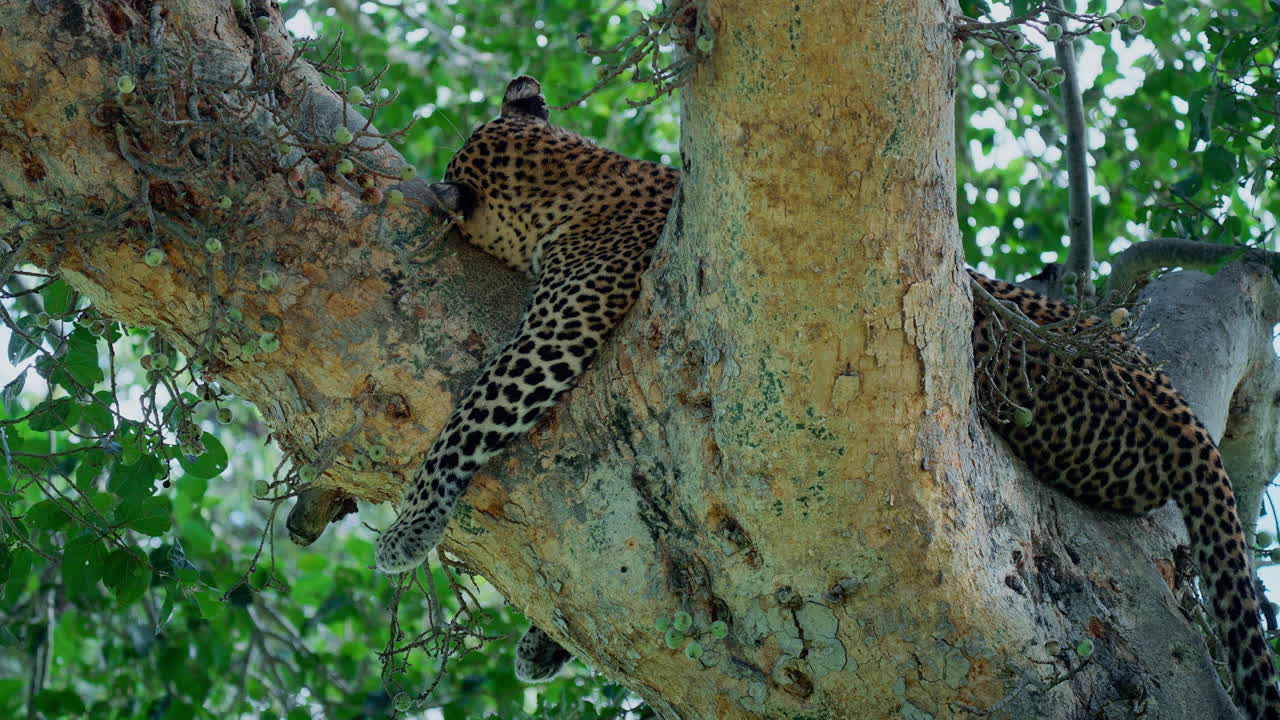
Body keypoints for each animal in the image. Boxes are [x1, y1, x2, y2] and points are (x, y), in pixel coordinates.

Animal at [374, 75, 1280, 716]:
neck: (579, 173)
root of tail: (1174, 409)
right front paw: (539, 645)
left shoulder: (557, 329)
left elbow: (471, 417)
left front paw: (408, 529)